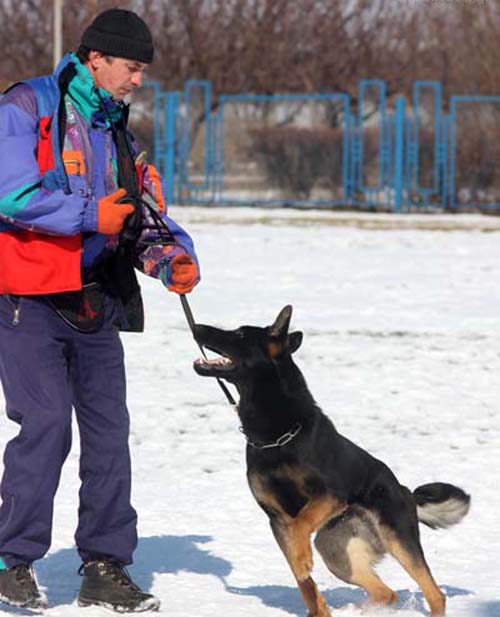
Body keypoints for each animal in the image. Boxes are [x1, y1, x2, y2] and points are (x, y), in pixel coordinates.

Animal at [192, 306, 468, 612]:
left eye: (240, 334)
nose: (195, 327)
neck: (277, 436)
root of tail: (405, 490)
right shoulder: (277, 520)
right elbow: (303, 580)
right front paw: (312, 596)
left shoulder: (329, 495)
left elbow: (301, 523)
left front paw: (303, 560)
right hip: (335, 551)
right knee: (386, 592)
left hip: (397, 539)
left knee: (435, 594)